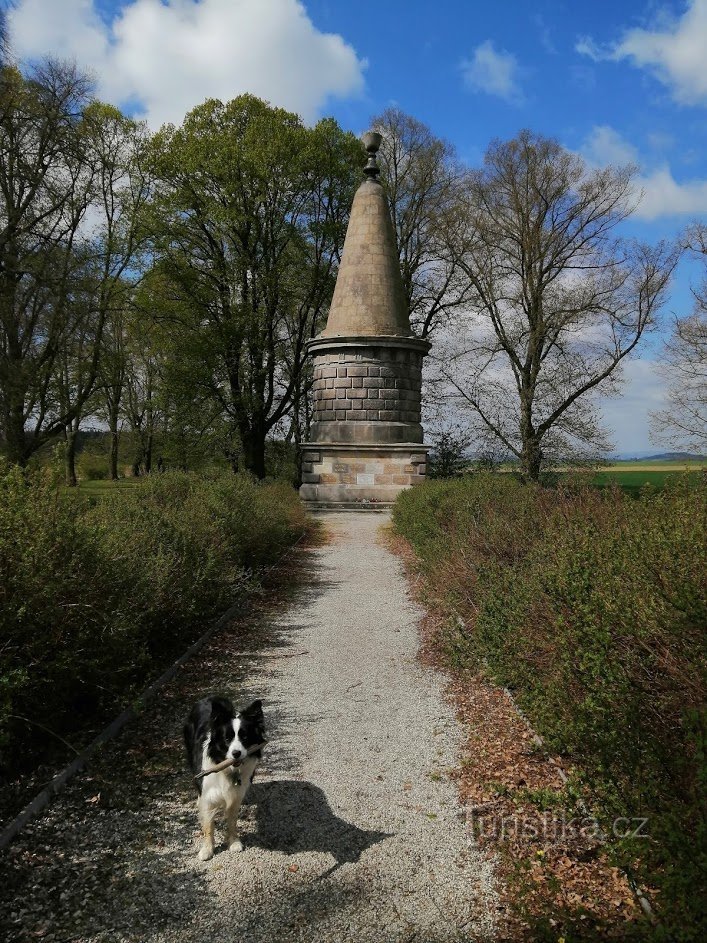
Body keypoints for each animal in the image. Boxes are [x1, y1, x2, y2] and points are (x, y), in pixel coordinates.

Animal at [184, 696, 266, 860]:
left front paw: (233, 842)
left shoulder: (235, 794)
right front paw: (207, 850)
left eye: (245, 737)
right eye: (227, 738)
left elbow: (232, 821)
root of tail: (209, 697)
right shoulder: (209, 795)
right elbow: (208, 825)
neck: (229, 769)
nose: (236, 753)